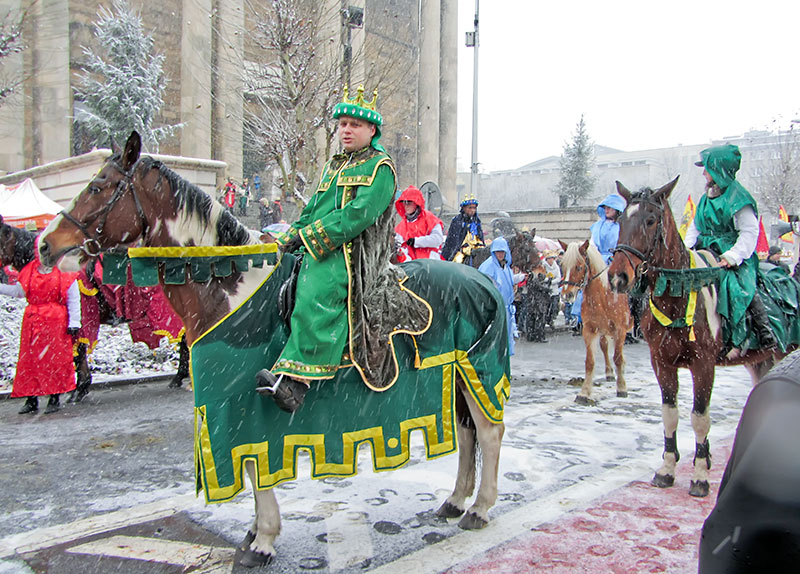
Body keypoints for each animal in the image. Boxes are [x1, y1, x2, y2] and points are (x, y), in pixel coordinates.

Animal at [560, 241, 628, 408]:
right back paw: (609, 372)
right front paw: (584, 392)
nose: (566, 295)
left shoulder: (620, 330)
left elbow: (618, 358)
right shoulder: (590, 330)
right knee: (605, 346)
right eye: (563, 266)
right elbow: (590, 362)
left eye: (579, 267)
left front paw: (621, 387)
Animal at [608, 178, 788, 498]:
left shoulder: (703, 365)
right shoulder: (662, 363)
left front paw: (701, 474)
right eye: (619, 221)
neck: (678, 296)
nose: (618, 277)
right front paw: (667, 469)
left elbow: (699, 418)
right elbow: (670, 414)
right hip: (761, 361)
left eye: (651, 220)